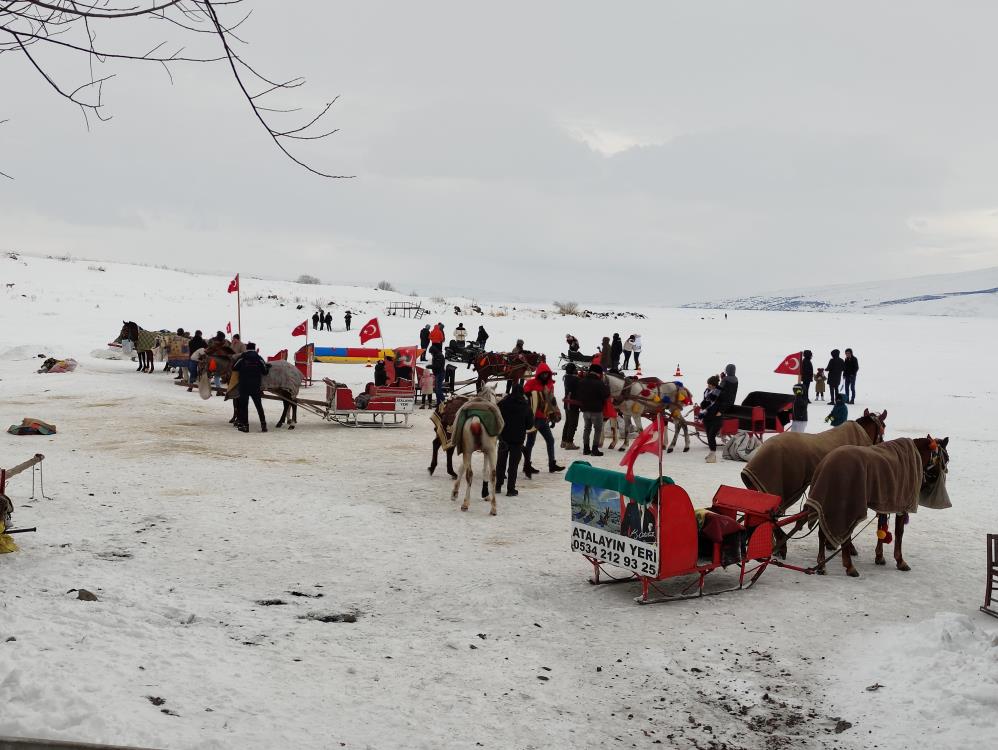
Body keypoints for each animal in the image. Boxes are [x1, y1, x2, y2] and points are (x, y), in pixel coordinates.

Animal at [450, 388, 504, 516]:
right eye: (495, 394)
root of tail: (476, 419)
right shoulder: (485, 451)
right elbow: (484, 470)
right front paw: (485, 493)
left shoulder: (469, 450)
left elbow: (462, 467)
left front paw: (455, 492)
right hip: (489, 450)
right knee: (489, 474)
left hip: (471, 450)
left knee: (475, 474)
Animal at [804, 434, 952, 576]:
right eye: (947, 458)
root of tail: (826, 462)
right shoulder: (901, 506)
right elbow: (899, 533)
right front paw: (900, 560)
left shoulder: (884, 504)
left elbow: (882, 527)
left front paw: (879, 556)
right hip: (846, 504)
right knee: (843, 534)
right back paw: (849, 566)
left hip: (828, 502)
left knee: (823, 532)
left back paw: (822, 565)